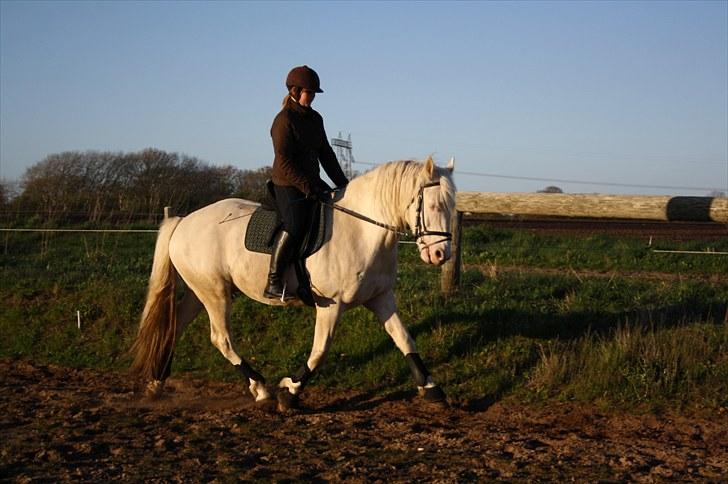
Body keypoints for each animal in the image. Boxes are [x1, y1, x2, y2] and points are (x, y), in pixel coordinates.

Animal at [129, 157, 456, 410]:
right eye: (434, 205)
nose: (441, 254)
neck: (361, 231)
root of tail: (183, 221)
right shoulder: (331, 305)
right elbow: (320, 350)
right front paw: (289, 392)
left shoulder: (381, 297)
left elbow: (405, 339)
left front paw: (432, 389)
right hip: (215, 293)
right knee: (221, 339)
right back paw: (260, 389)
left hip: (200, 293)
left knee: (175, 327)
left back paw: (157, 383)